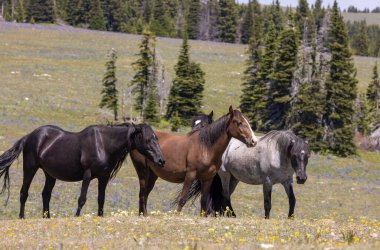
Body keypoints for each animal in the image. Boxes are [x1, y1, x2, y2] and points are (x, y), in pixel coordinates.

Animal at [0, 123, 164, 219]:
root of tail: (29, 136)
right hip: (30, 168)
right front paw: (77, 216)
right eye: (147, 139)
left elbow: (101, 199)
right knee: (24, 193)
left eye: (156, 138)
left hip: (50, 174)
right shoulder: (87, 175)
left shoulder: (104, 178)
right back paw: (22, 217)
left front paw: (100, 217)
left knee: (46, 194)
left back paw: (47, 217)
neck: (103, 144)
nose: (161, 160)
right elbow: (82, 198)